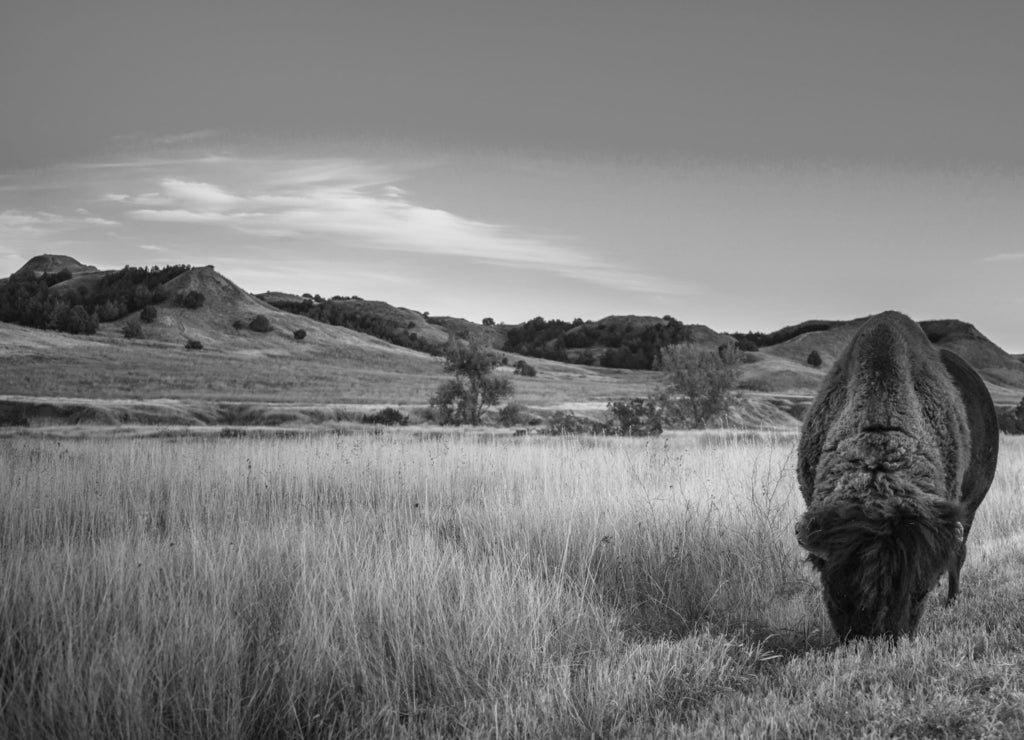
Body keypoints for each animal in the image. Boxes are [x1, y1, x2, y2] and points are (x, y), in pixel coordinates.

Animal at [795, 311, 998, 640]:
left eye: (917, 591)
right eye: (837, 593)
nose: (878, 638)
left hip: (970, 509)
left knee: (959, 554)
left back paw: (952, 601)